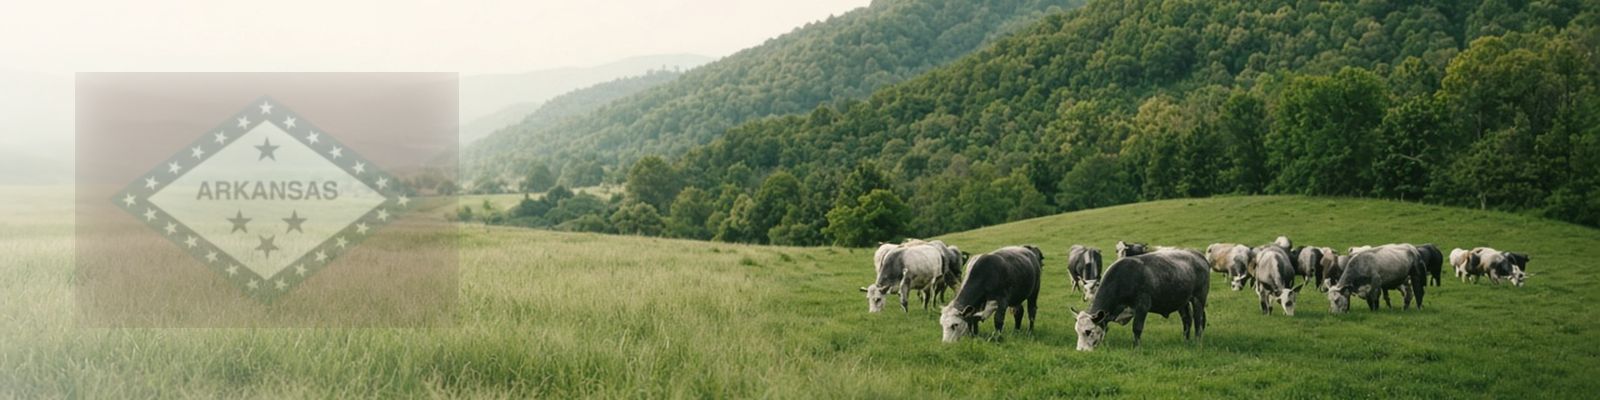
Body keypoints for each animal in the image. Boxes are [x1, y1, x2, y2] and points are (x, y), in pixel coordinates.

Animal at [1072, 248, 1209, 351]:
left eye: (1088, 331)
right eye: (1077, 331)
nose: (1080, 351)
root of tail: (1198, 255)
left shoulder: (1142, 305)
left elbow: (1137, 328)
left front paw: (1136, 347)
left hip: (1199, 298)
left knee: (1198, 320)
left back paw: (1197, 342)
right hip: (1182, 301)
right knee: (1187, 320)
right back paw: (1185, 340)